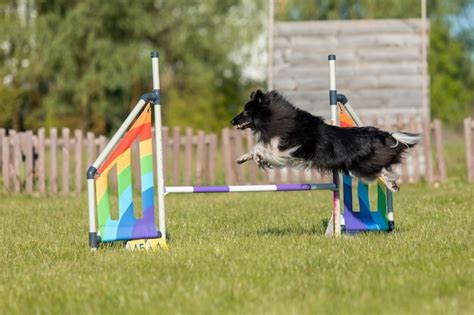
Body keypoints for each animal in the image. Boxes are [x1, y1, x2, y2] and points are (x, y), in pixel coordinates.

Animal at [231, 89, 420, 193]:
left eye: (246, 112)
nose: (232, 121)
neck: (276, 117)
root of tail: (380, 134)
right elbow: (256, 148)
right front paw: (241, 159)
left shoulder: (284, 148)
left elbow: (260, 148)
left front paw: (257, 158)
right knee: (384, 170)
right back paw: (393, 186)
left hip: (361, 165)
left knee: (381, 170)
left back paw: (392, 184)